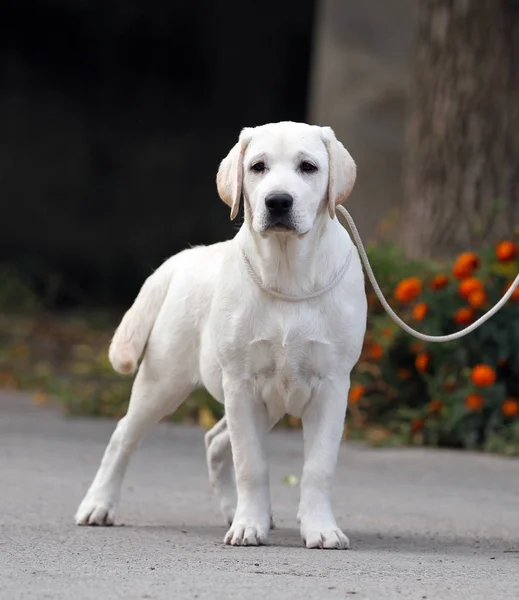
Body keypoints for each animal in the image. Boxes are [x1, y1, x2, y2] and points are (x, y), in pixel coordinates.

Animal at [75, 120, 368, 548]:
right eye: (258, 167)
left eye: (308, 167)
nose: (278, 202)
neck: (287, 276)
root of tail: (185, 257)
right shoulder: (242, 384)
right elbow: (251, 463)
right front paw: (249, 526)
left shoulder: (331, 387)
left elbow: (318, 466)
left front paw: (320, 529)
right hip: (164, 382)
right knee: (123, 436)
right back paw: (98, 505)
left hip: (261, 402)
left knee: (214, 441)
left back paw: (236, 511)